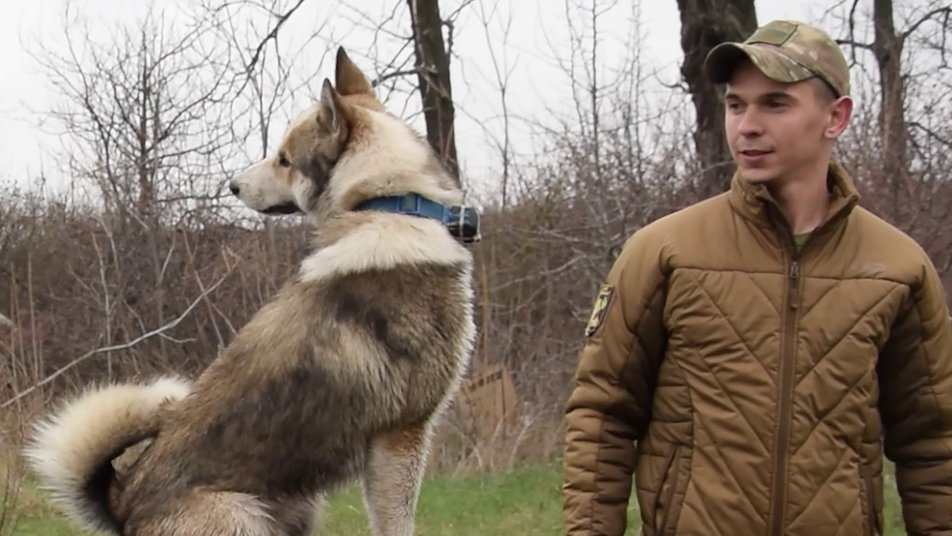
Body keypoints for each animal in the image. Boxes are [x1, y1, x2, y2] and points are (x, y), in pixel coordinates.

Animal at [24, 48, 476, 532]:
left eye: (284, 160)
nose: (232, 185)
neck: (389, 205)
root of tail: (123, 500)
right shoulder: (402, 436)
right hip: (243, 515)